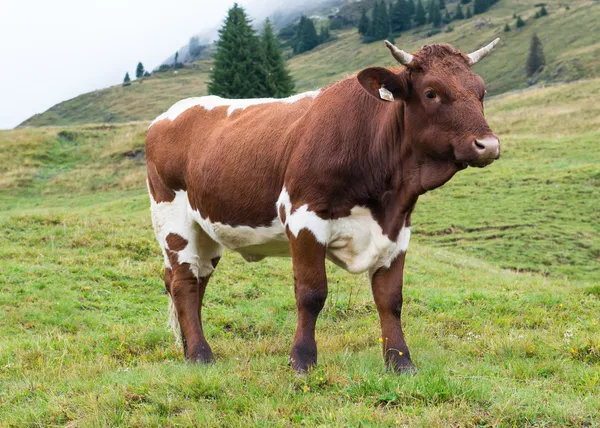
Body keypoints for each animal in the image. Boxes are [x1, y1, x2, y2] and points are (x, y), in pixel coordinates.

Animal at [145, 40, 502, 374]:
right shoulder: (304, 217)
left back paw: (189, 350)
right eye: (431, 93)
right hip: (173, 221)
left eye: (481, 92)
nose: (488, 145)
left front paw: (401, 362)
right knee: (184, 283)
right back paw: (202, 355)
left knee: (195, 281)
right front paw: (302, 360)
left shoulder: (398, 229)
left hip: (207, 230)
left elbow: (391, 299)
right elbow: (312, 293)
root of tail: (168, 115)